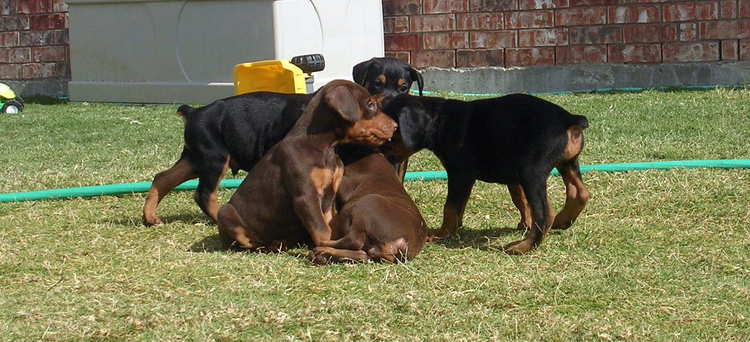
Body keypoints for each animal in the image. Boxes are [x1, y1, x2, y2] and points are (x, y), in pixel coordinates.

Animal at [142, 57, 424, 226]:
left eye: (404, 87)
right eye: (376, 84)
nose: (391, 108)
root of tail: (194, 113)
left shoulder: (397, 161)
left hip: (195, 156)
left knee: (163, 178)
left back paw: (150, 217)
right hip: (214, 157)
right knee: (204, 193)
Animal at [217, 80, 406, 262]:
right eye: (370, 104)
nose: (395, 126)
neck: (325, 148)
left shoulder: (329, 196)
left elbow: (328, 225)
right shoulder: (306, 196)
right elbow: (323, 231)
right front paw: (329, 250)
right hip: (225, 213)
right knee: (250, 242)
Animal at [382, 93, 592, 254]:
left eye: (391, 133)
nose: (378, 154)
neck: (440, 119)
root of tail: (569, 119)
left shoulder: (460, 174)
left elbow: (450, 207)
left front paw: (442, 234)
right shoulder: (503, 177)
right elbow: (517, 200)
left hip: (531, 172)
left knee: (544, 213)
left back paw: (523, 246)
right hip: (567, 162)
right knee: (580, 192)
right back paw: (563, 220)